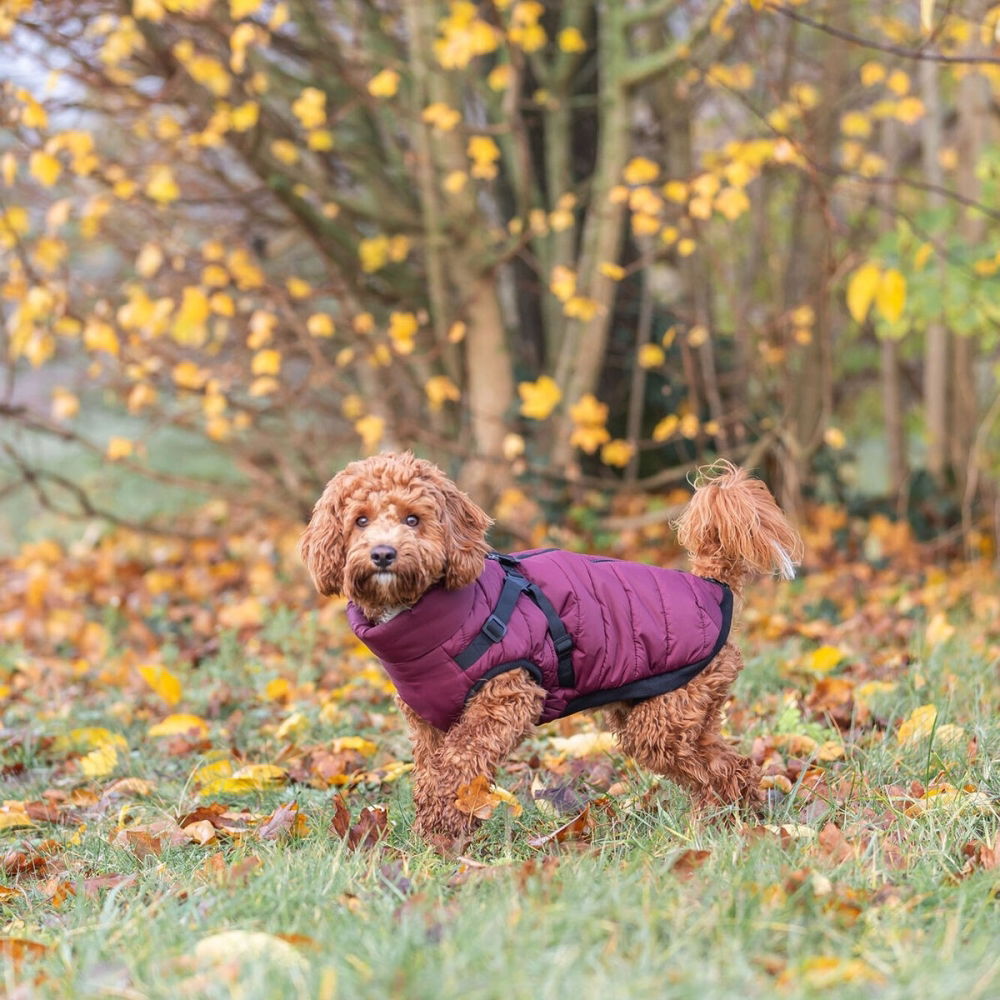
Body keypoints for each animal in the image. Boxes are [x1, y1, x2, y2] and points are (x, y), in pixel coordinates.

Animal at [300, 458, 800, 840]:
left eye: (412, 519)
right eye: (360, 520)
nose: (383, 553)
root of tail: (711, 584)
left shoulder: (506, 696)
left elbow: (457, 766)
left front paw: (444, 830)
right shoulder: (427, 723)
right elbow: (429, 774)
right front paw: (433, 833)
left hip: (665, 720)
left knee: (721, 769)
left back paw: (722, 825)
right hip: (679, 713)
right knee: (730, 764)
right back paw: (729, 820)